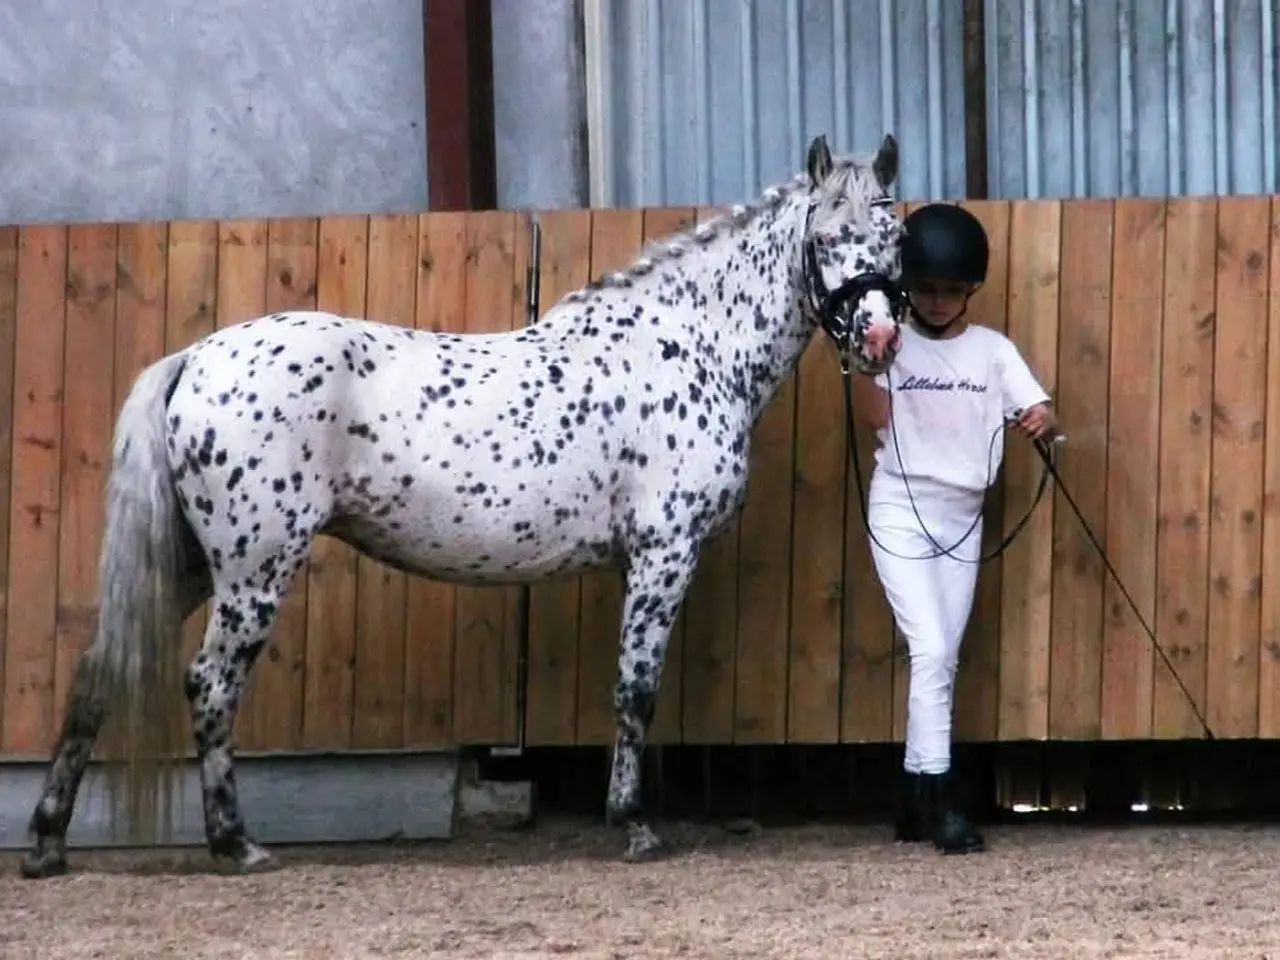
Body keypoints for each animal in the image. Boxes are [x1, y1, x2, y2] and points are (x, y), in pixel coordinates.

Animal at [20, 132, 905, 878]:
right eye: (824, 240)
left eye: (892, 238)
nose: (879, 338)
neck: (687, 348)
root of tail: (197, 358)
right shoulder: (664, 551)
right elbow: (636, 688)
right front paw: (635, 826)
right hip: (251, 571)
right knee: (208, 684)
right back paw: (235, 844)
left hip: (193, 565)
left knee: (99, 669)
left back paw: (48, 845)